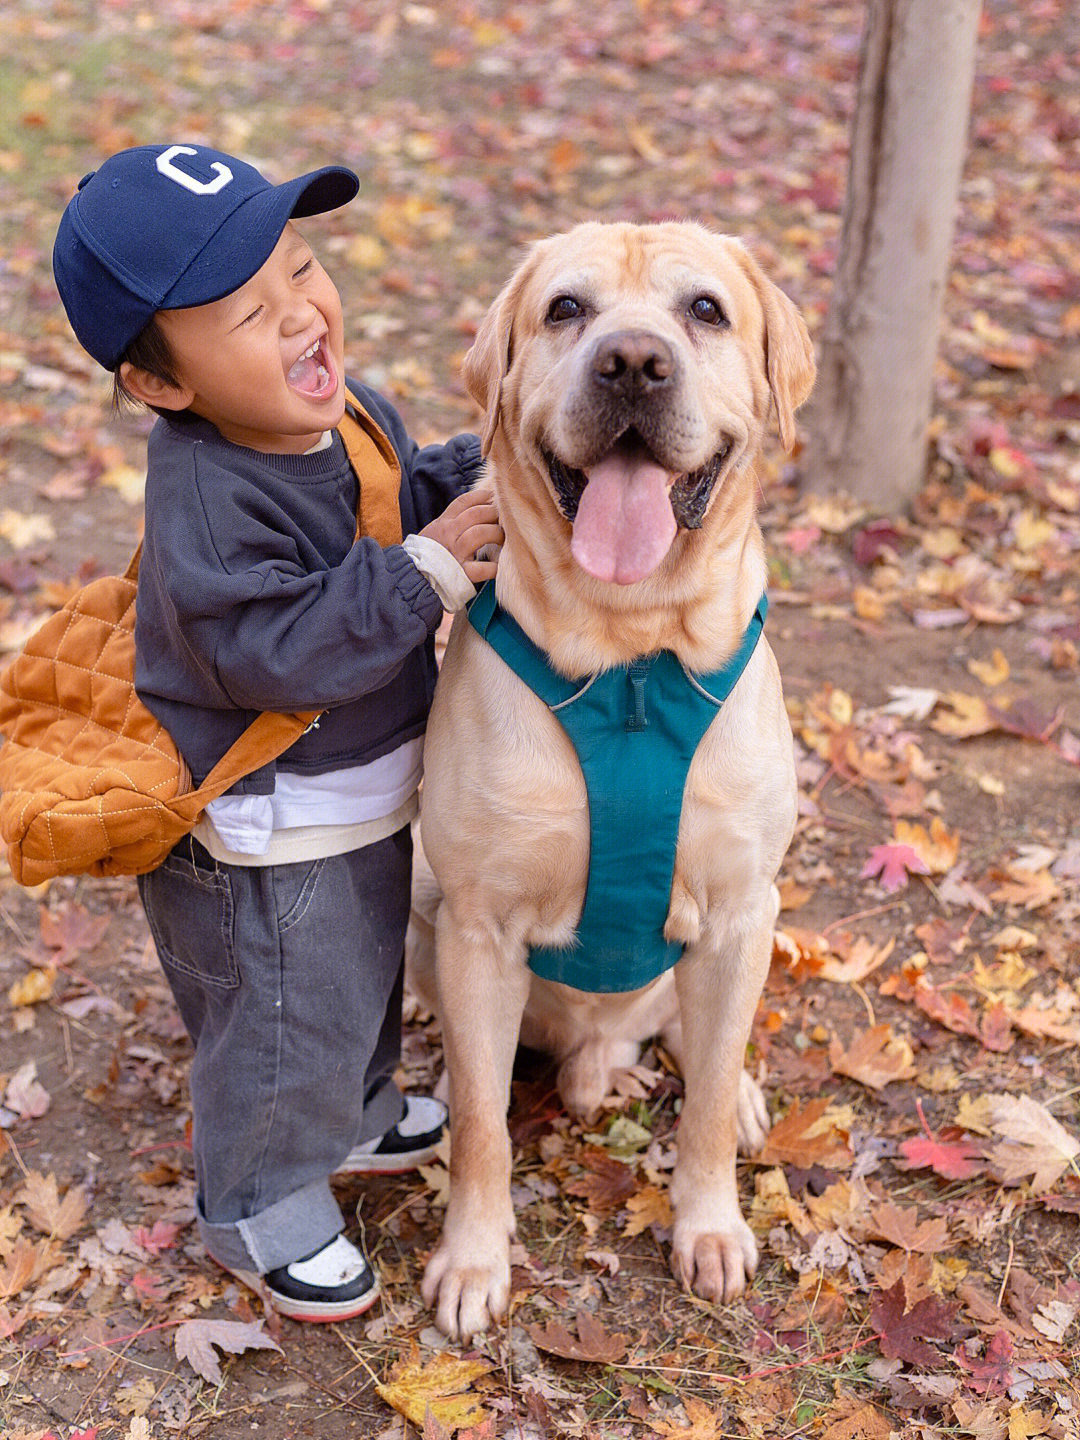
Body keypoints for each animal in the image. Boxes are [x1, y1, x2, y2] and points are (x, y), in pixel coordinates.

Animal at [417, 221, 817, 1336]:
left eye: (706, 311)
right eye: (566, 310)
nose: (633, 363)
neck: (634, 653)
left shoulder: (740, 906)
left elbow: (710, 1098)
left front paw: (709, 1224)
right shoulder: (476, 927)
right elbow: (481, 1121)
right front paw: (474, 1258)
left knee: (707, 1042)